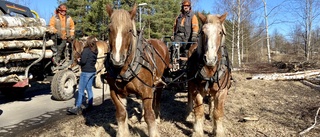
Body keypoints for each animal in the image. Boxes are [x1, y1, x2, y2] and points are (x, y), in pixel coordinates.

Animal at [105, 4, 170, 137]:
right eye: (109, 29)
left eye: (130, 30)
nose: (117, 59)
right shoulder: (115, 91)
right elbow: (121, 114)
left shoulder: (147, 91)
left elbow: (149, 116)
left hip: (160, 81)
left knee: (158, 98)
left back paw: (157, 116)